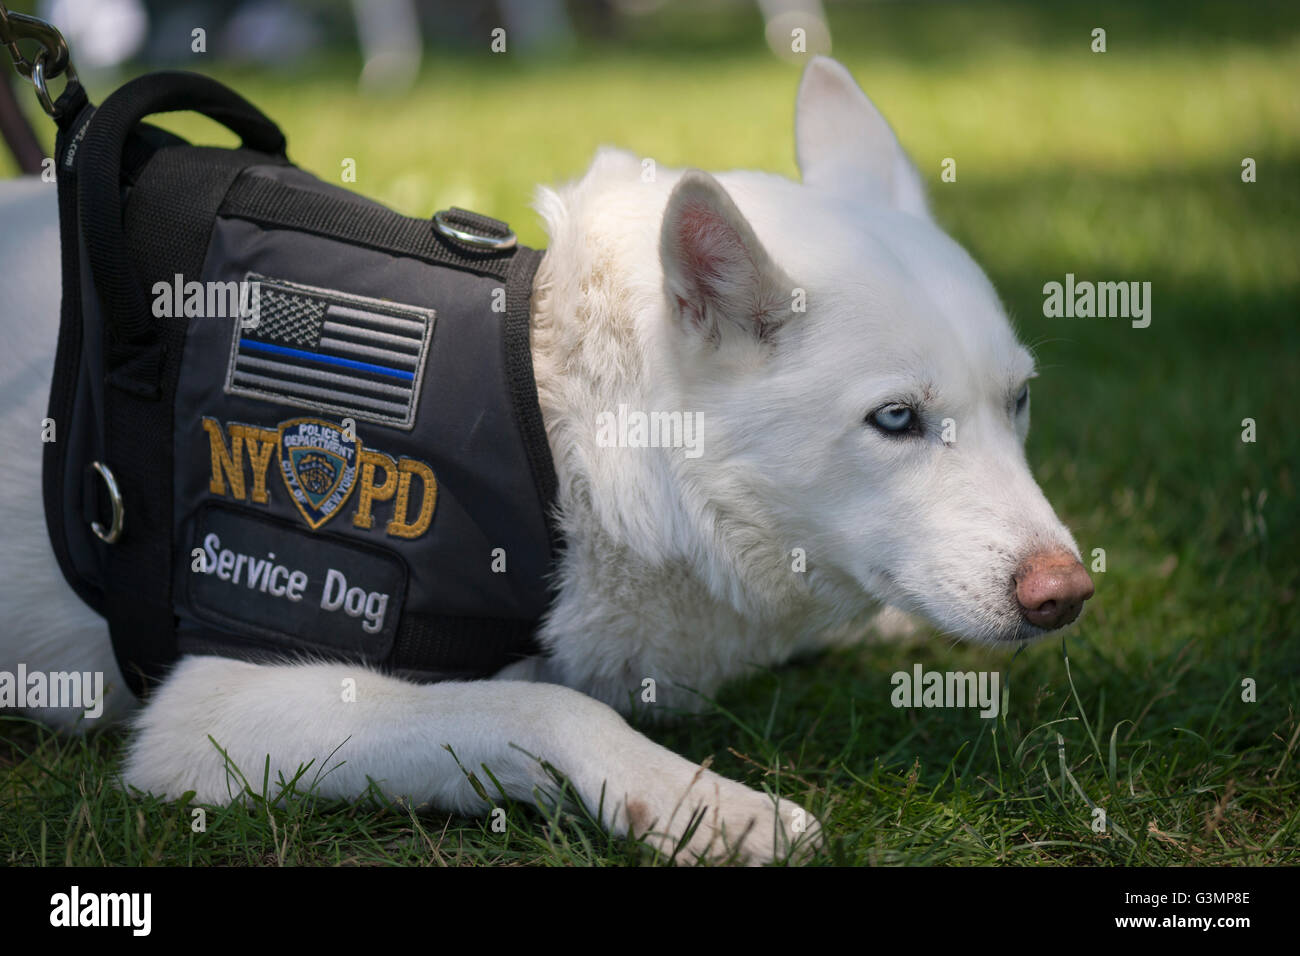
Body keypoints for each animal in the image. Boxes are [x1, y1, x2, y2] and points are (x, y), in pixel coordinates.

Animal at [2, 59, 1086, 868]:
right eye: (896, 419)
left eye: (1021, 400)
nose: (1066, 595)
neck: (566, 436)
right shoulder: (216, 712)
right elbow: (540, 703)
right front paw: (696, 801)